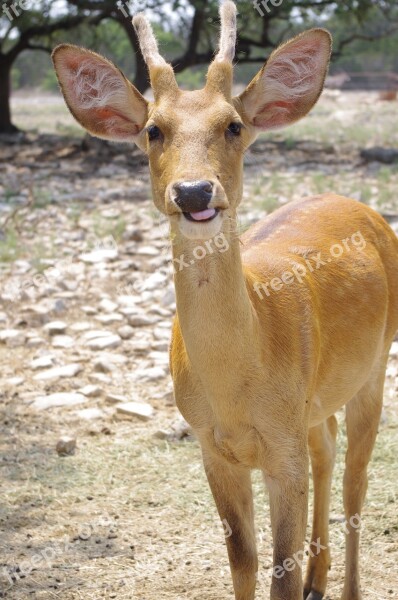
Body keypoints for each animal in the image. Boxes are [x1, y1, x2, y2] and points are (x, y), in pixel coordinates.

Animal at [52, 2, 398, 596]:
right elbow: (243, 559)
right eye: (153, 130)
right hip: (316, 403)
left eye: (233, 125)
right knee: (327, 451)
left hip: (376, 366)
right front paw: (291, 572)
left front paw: (301, 576)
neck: (239, 390)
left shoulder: (281, 448)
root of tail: (362, 207)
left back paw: (346, 584)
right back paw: (320, 577)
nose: (194, 192)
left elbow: (279, 572)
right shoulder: (212, 447)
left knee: (357, 480)